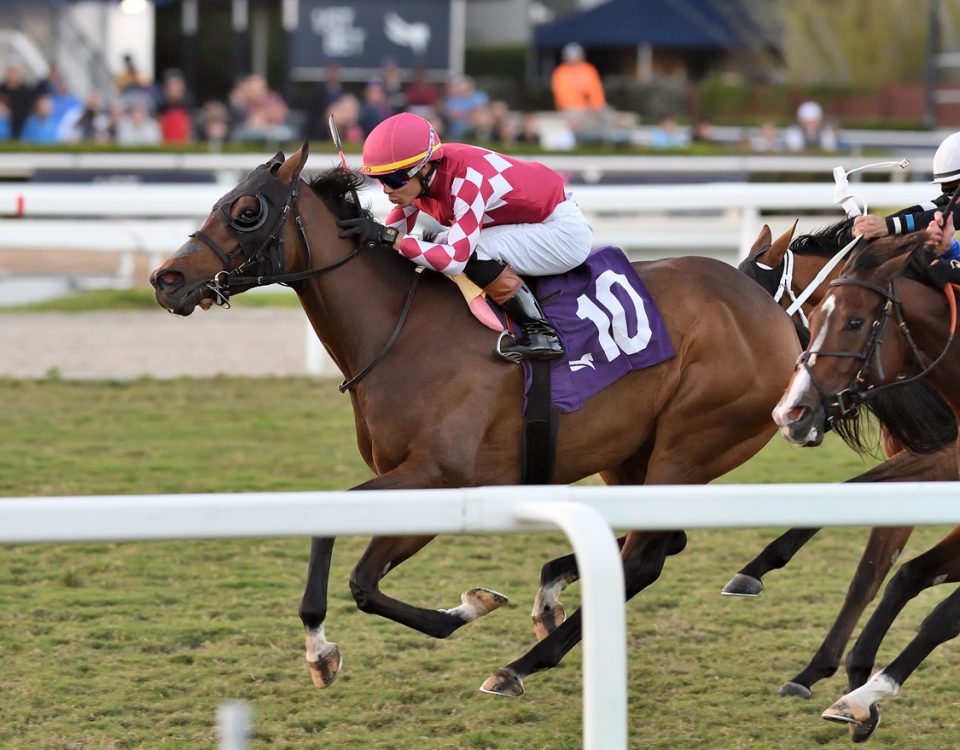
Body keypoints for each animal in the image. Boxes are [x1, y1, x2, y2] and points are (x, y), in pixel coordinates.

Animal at [152, 142, 804, 700]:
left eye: (245, 211)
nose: (166, 279)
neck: (402, 330)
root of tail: (767, 308)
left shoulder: (440, 475)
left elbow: (360, 575)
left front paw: (441, 616)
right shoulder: (425, 483)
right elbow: (360, 570)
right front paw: (331, 644)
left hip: (689, 443)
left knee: (643, 557)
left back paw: (520, 665)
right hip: (631, 455)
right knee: (657, 544)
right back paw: (550, 593)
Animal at [732, 223, 956, 704]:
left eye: (756, 318)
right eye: (815, 320)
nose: (789, 414)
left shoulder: (947, 457)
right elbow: (869, 573)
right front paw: (820, 671)